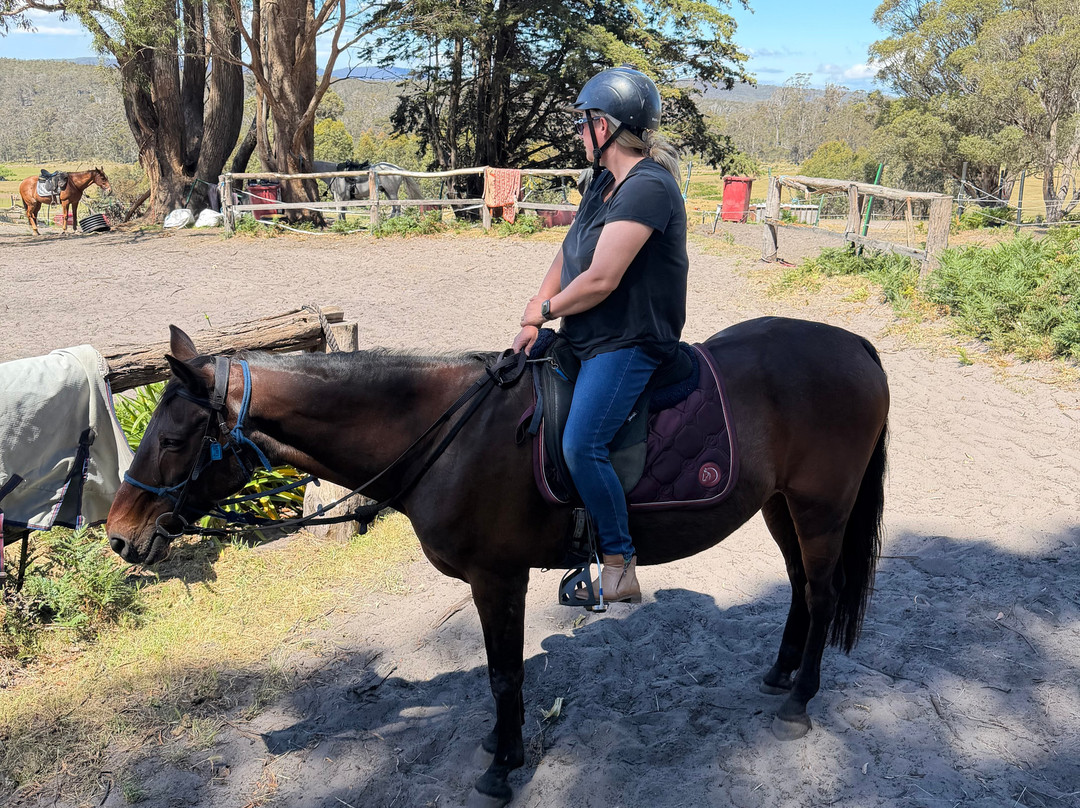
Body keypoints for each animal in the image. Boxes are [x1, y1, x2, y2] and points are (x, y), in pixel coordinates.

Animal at [106, 316, 889, 808]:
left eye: (172, 438)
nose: (116, 536)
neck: (447, 432)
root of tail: (855, 346)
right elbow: (496, 674)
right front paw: (497, 745)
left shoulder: (498, 579)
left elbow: (505, 674)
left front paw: (502, 767)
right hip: (781, 504)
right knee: (801, 586)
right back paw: (780, 674)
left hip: (820, 506)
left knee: (822, 595)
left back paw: (798, 700)